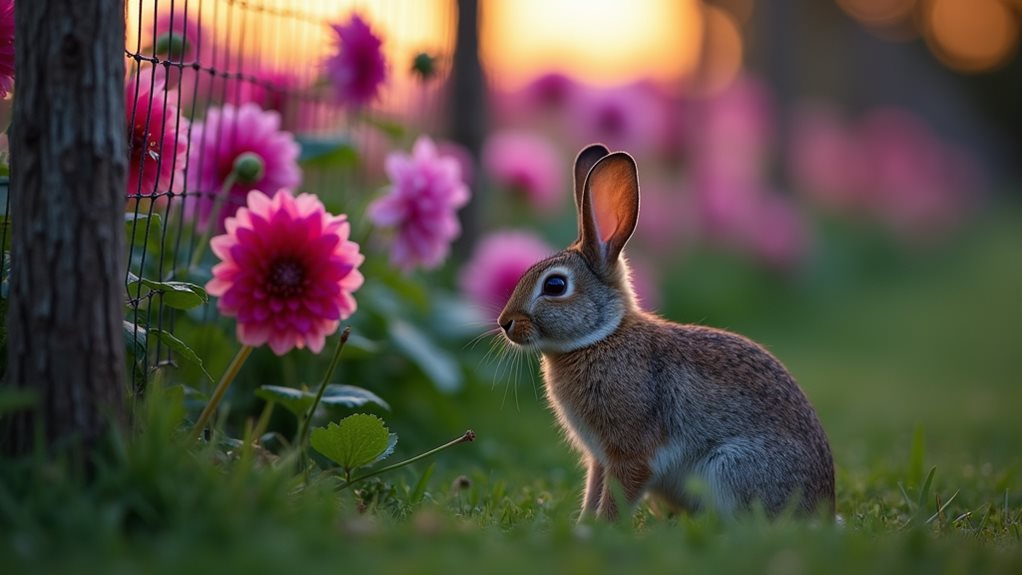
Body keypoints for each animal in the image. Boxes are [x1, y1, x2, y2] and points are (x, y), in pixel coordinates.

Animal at [497, 144, 835, 521]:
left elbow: (619, 492)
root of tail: (824, 507)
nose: (505, 323)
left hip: (731, 466)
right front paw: (584, 523)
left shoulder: (631, 453)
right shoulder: (600, 458)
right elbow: (594, 490)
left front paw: (601, 527)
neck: (601, 337)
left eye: (555, 285)